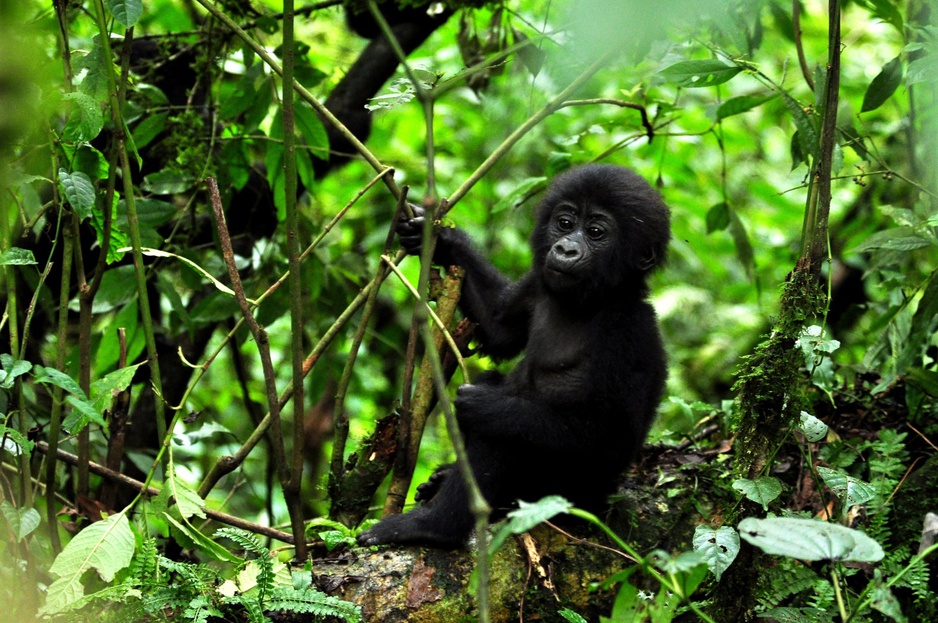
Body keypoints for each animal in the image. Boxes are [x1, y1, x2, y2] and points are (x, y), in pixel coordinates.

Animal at [354, 165, 668, 544]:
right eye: (564, 223)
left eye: (595, 232)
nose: (566, 248)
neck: (591, 302)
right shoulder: (538, 283)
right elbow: (497, 324)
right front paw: (438, 238)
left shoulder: (628, 332)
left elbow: (610, 437)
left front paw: (488, 405)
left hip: (558, 497)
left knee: (501, 435)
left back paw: (433, 527)